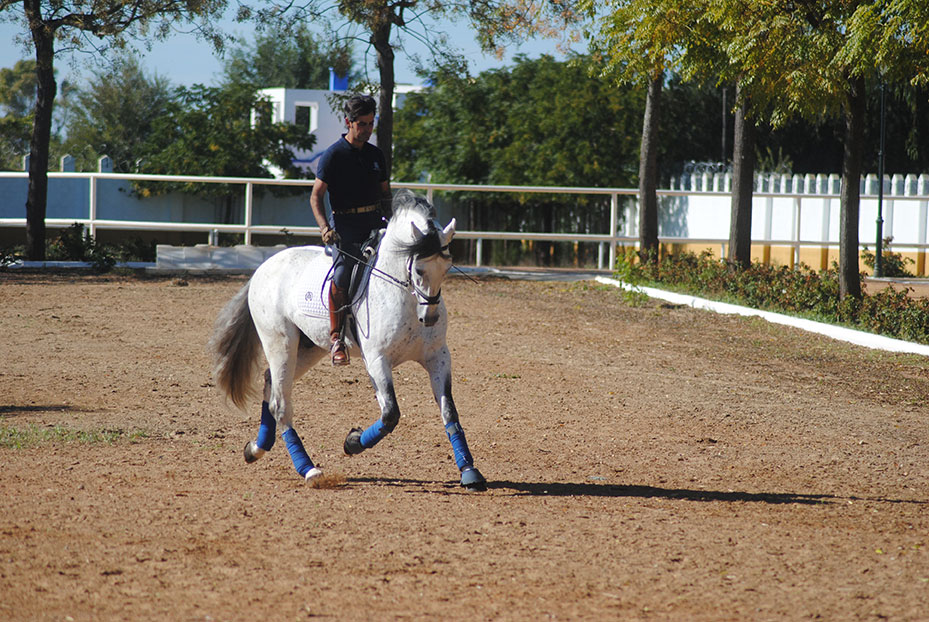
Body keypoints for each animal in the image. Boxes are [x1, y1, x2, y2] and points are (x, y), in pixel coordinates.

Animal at [209, 191, 486, 492]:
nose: (430, 318)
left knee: (271, 383)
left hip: (308, 348)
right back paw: (309, 470)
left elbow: (449, 412)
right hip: (279, 342)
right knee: (280, 403)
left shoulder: (438, 356)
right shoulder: (377, 360)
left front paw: (470, 471)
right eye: (420, 270)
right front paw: (352, 442)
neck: (404, 295)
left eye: (446, 267)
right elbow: (390, 414)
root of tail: (264, 266)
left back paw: (256, 449)